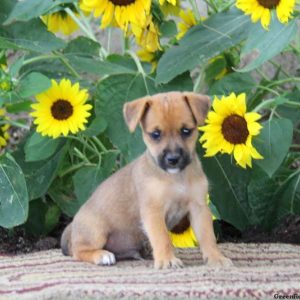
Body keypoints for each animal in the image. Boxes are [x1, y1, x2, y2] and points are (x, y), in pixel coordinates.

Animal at [61, 92, 233, 270]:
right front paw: (167, 260)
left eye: (186, 131)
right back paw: (101, 255)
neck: (175, 178)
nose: (173, 159)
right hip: (96, 230)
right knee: (78, 251)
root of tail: (73, 226)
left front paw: (216, 258)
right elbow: (162, 238)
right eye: (155, 134)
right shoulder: (153, 211)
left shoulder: (199, 208)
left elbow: (208, 236)